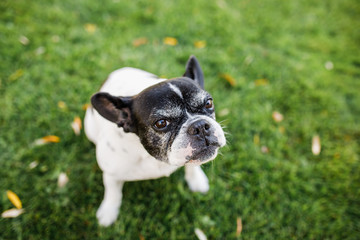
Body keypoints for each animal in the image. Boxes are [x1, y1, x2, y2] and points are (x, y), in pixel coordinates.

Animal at [84, 55, 225, 226]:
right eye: (161, 123)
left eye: (209, 103)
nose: (200, 126)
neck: (152, 157)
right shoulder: (111, 174)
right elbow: (113, 193)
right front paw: (108, 212)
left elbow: (192, 166)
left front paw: (196, 180)